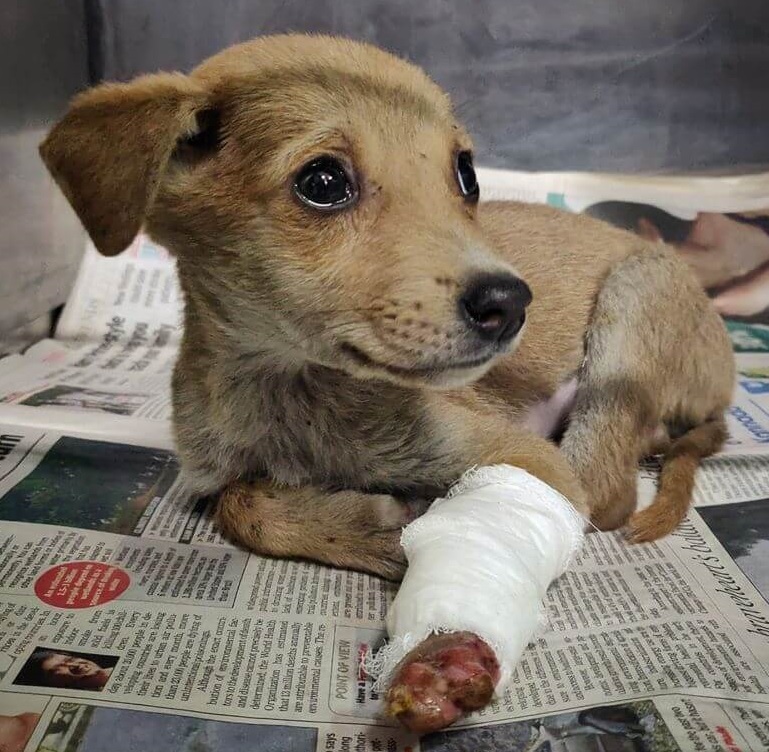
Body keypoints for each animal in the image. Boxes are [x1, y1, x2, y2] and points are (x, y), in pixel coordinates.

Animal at [40, 33, 732, 576]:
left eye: (466, 175)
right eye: (323, 183)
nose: (510, 304)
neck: (294, 392)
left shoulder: (527, 461)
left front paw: (392, 526)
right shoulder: (211, 472)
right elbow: (240, 502)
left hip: (635, 294)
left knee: (607, 489)